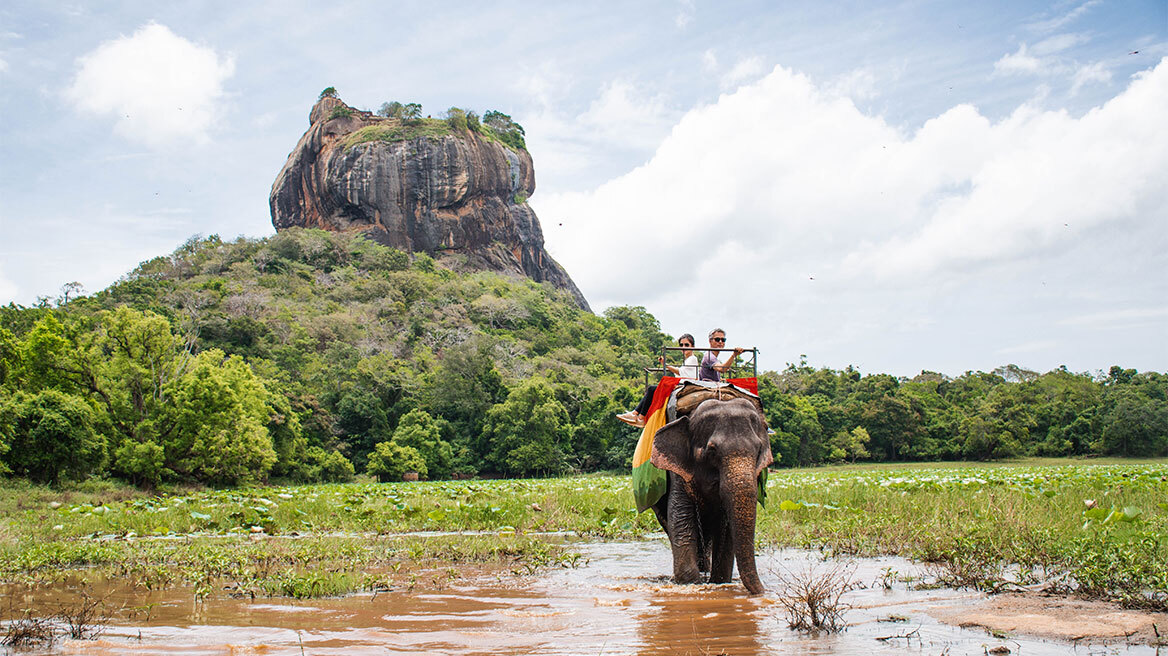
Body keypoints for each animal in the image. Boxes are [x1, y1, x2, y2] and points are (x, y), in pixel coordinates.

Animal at [649, 392, 775, 592]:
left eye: (758, 451)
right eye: (712, 451)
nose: (764, 592)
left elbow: (727, 530)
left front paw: (719, 581)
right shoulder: (679, 472)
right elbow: (681, 519)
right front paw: (690, 582)